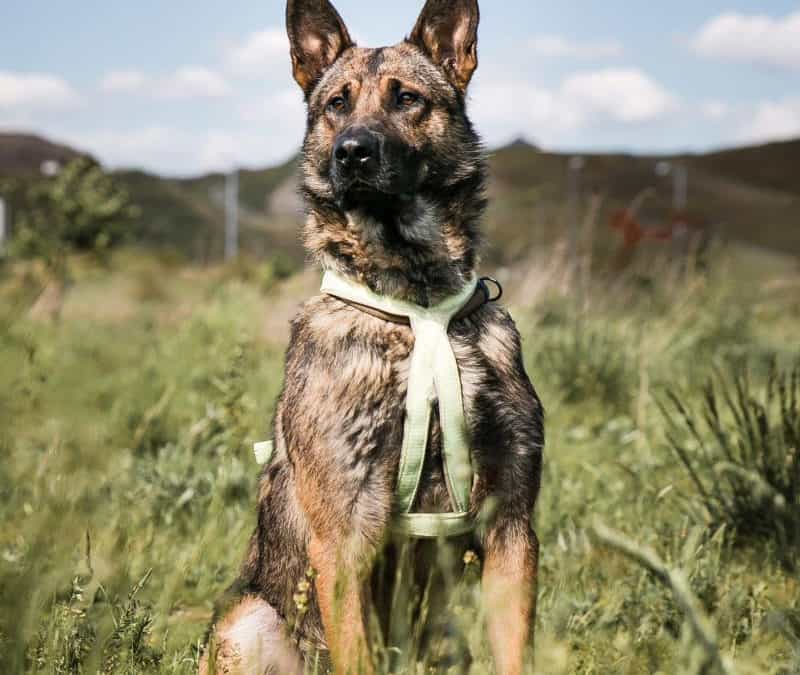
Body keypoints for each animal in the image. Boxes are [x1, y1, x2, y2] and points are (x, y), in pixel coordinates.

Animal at [202, 1, 544, 675]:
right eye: (337, 103)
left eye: (406, 98)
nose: (352, 154)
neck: (417, 307)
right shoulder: (345, 534)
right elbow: (356, 649)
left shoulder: (512, 525)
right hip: (248, 620)